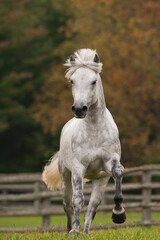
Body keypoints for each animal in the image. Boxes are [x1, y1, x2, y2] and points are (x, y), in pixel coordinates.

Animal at [42, 48, 126, 236]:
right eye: (72, 81)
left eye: (93, 81)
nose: (79, 109)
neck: (94, 130)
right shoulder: (78, 168)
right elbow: (78, 200)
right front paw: (74, 230)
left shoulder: (110, 163)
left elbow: (118, 173)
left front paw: (119, 214)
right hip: (66, 175)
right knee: (68, 203)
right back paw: (70, 230)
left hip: (100, 180)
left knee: (93, 207)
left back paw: (86, 233)